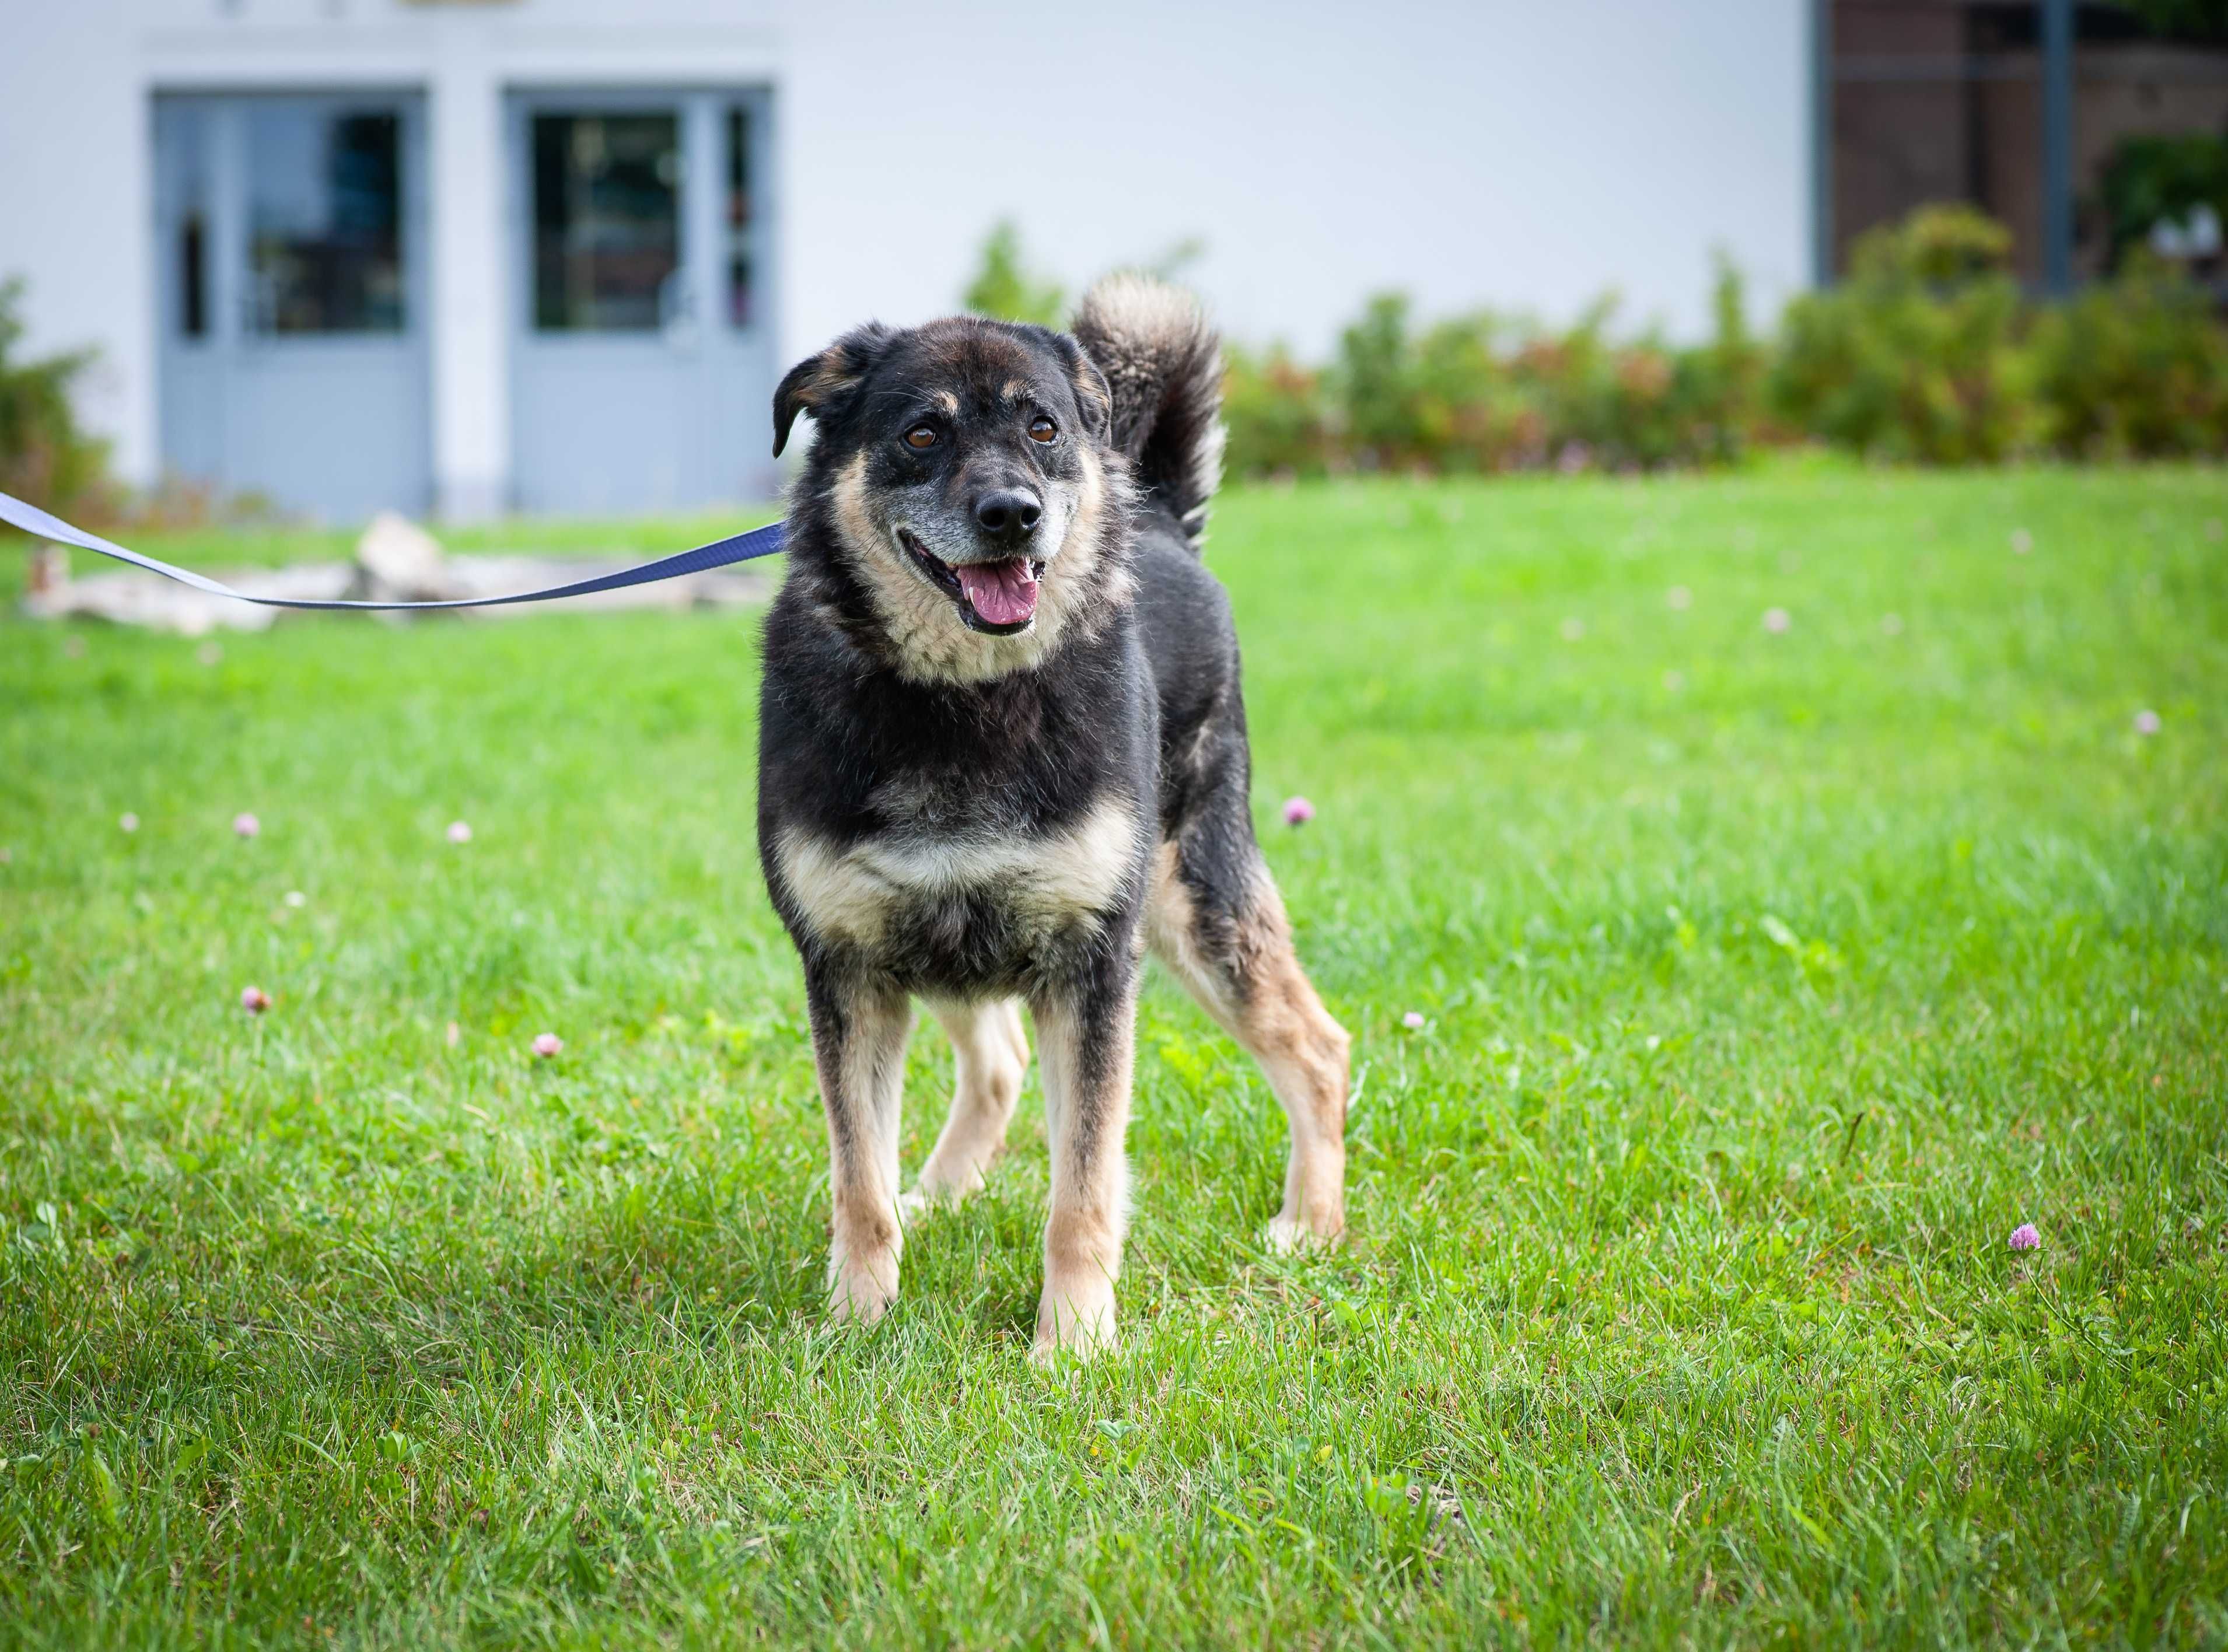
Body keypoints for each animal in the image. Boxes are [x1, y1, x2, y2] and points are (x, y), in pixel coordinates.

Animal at [757, 275, 1337, 1362]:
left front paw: (1070, 1345)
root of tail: (1161, 521)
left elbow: (1084, 1184)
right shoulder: (850, 965)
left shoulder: (1092, 964)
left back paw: (1312, 1227)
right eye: (920, 434)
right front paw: (856, 1323)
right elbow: (857, 1182)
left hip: (1193, 901)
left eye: (1042, 427)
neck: (960, 702)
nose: (1011, 516)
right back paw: (940, 1194)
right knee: (996, 1063)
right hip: (948, 938)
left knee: (1319, 1049)